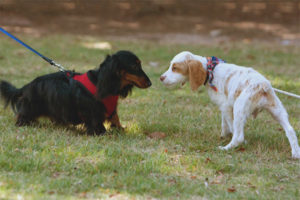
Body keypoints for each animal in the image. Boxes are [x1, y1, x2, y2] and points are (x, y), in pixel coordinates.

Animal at [0, 50, 151, 134]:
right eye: (134, 66)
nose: (150, 83)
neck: (102, 84)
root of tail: (27, 86)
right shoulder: (93, 113)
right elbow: (98, 125)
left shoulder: (110, 109)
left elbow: (115, 118)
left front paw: (122, 128)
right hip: (31, 108)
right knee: (21, 117)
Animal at [161, 51, 300, 159]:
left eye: (175, 68)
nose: (161, 78)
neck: (210, 71)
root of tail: (263, 85)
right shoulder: (225, 105)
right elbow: (224, 123)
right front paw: (223, 135)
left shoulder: (226, 106)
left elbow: (231, 126)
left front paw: (235, 140)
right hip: (277, 110)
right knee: (290, 130)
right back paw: (296, 153)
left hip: (239, 108)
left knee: (238, 136)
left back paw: (225, 148)